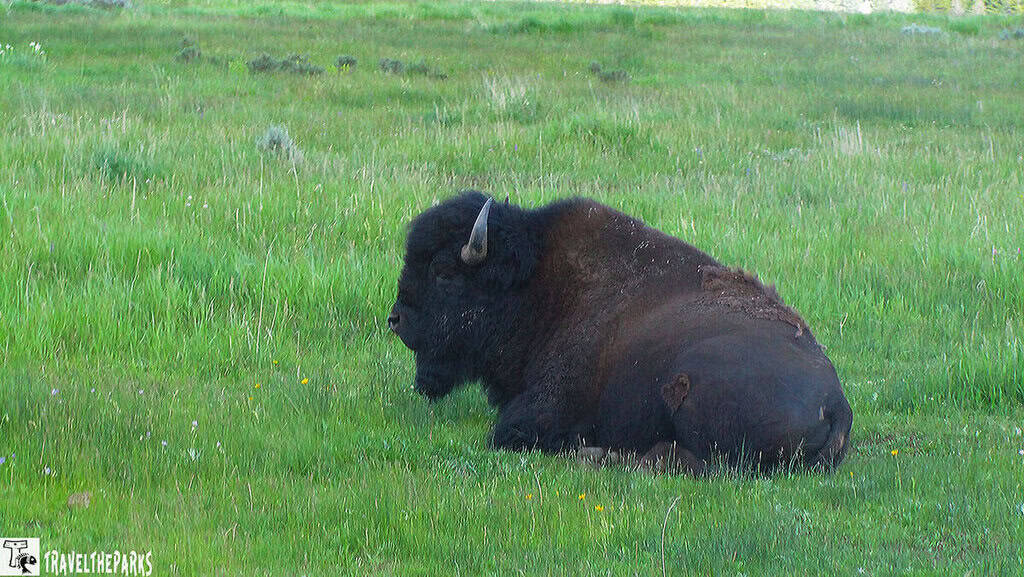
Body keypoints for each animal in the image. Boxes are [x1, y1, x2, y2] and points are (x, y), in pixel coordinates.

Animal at [389, 191, 852, 474]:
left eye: (444, 272)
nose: (396, 320)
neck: (539, 285)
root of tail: (836, 403)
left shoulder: (540, 411)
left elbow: (505, 434)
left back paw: (594, 454)